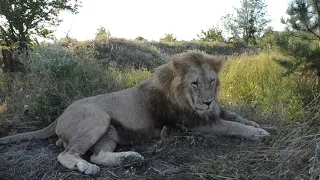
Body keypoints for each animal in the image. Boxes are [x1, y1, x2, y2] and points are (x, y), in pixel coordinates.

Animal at [0, 50, 270, 174]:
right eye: (194, 83)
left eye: (212, 81)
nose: (207, 102)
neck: (181, 95)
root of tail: (60, 114)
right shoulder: (196, 124)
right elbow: (232, 126)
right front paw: (259, 134)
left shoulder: (211, 112)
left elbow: (234, 116)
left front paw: (257, 124)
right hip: (98, 118)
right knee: (67, 154)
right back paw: (86, 167)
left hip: (110, 131)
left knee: (97, 155)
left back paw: (129, 158)